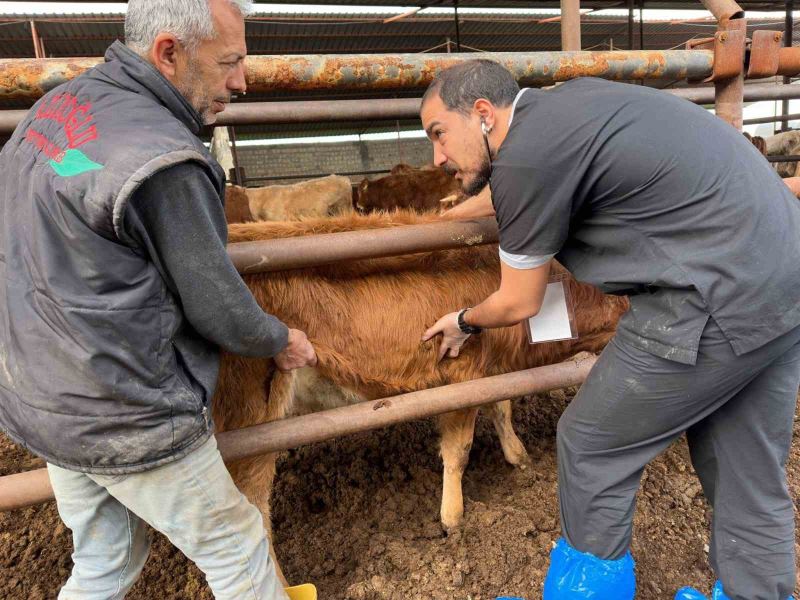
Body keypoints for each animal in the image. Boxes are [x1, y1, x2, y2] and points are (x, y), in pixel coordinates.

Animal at [216, 210, 628, 580]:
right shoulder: (462, 378)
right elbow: (459, 450)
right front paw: (453, 520)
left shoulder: (495, 372)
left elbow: (502, 407)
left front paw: (519, 456)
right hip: (252, 420)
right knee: (253, 515)